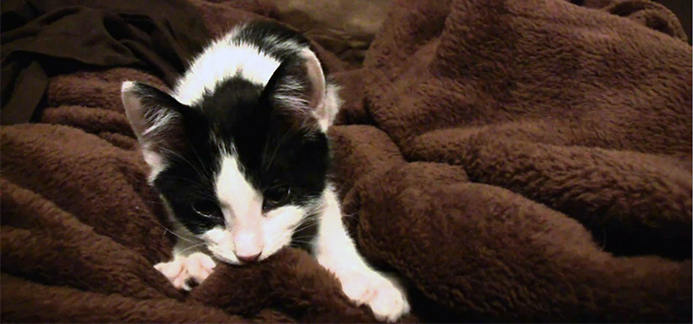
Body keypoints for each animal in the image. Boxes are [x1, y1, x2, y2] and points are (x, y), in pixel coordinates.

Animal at [120, 20, 410, 322]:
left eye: (278, 195)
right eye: (205, 208)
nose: (249, 256)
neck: (227, 85)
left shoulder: (316, 166)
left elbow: (327, 213)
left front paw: (369, 283)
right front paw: (187, 261)